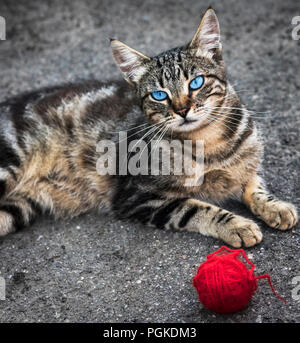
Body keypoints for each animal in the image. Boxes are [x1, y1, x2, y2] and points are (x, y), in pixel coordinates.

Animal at [0, 8, 296, 247]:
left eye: (196, 82)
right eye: (159, 95)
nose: (182, 110)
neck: (210, 144)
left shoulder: (247, 164)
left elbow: (255, 184)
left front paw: (276, 207)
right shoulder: (138, 196)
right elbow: (196, 208)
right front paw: (237, 225)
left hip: (17, 209)